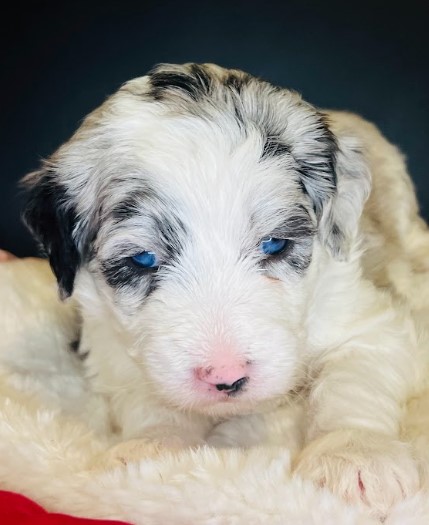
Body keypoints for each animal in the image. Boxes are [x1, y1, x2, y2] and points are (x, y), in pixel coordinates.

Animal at [21, 62, 428, 512]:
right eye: (142, 259)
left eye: (274, 244)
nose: (226, 377)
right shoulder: (114, 352)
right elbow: (150, 399)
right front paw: (152, 447)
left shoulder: (368, 322)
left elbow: (353, 380)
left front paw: (355, 452)